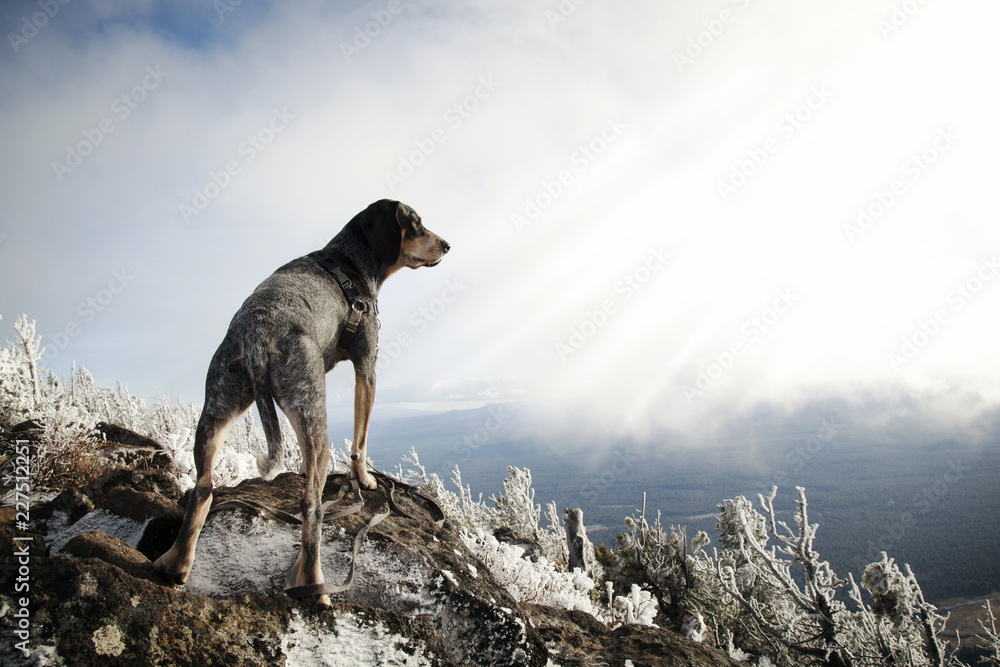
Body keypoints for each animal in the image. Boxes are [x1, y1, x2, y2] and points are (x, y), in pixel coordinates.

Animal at [154, 198, 452, 604]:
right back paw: (313, 584)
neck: (351, 261)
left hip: (217, 406)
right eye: (416, 223)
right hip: (312, 416)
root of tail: (258, 333)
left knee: (202, 488)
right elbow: (360, 439)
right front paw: (364, 480)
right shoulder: (367, 367)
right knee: (311, 505)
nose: (447, 245)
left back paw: (176, 563)